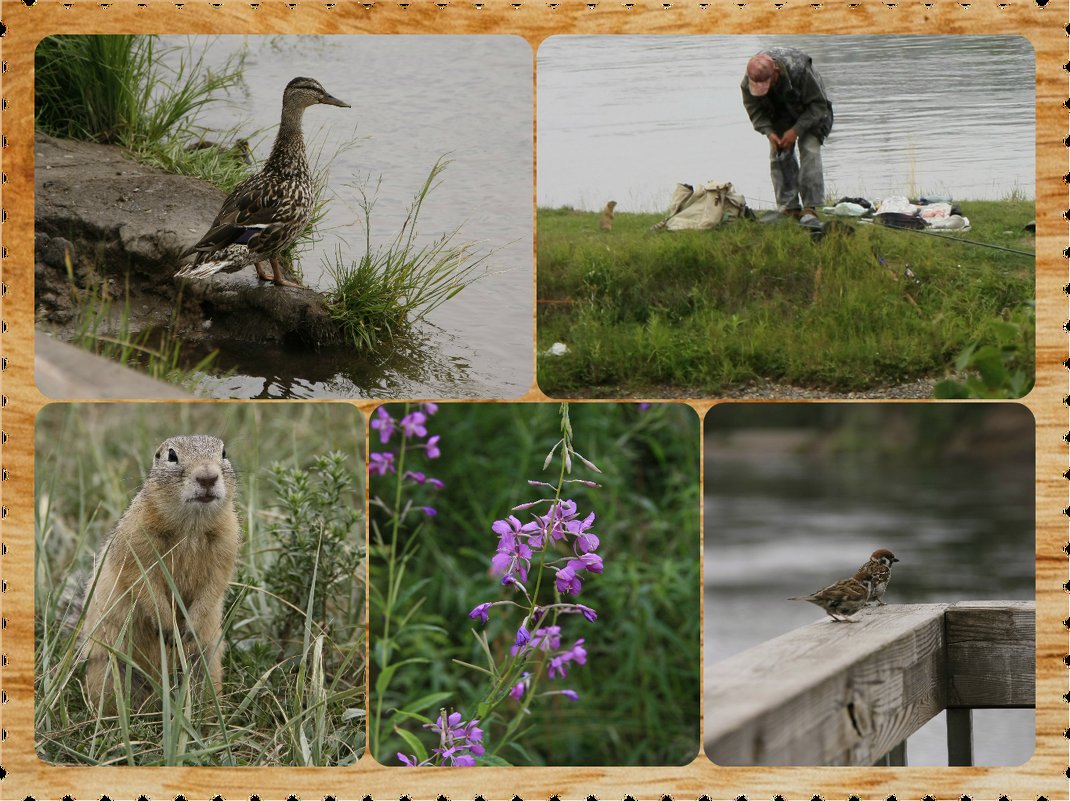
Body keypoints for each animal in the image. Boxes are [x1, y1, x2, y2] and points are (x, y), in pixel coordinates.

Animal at [81, 438, 240, 705]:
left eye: (224, 452)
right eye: (171, 456)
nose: (207, 477)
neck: (191, 526)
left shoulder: (227, 543)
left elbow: (216, 584)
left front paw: (191, 626)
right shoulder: (135, 539)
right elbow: (141, 579)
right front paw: (167, 625)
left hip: (205, 666)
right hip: (108, 669)